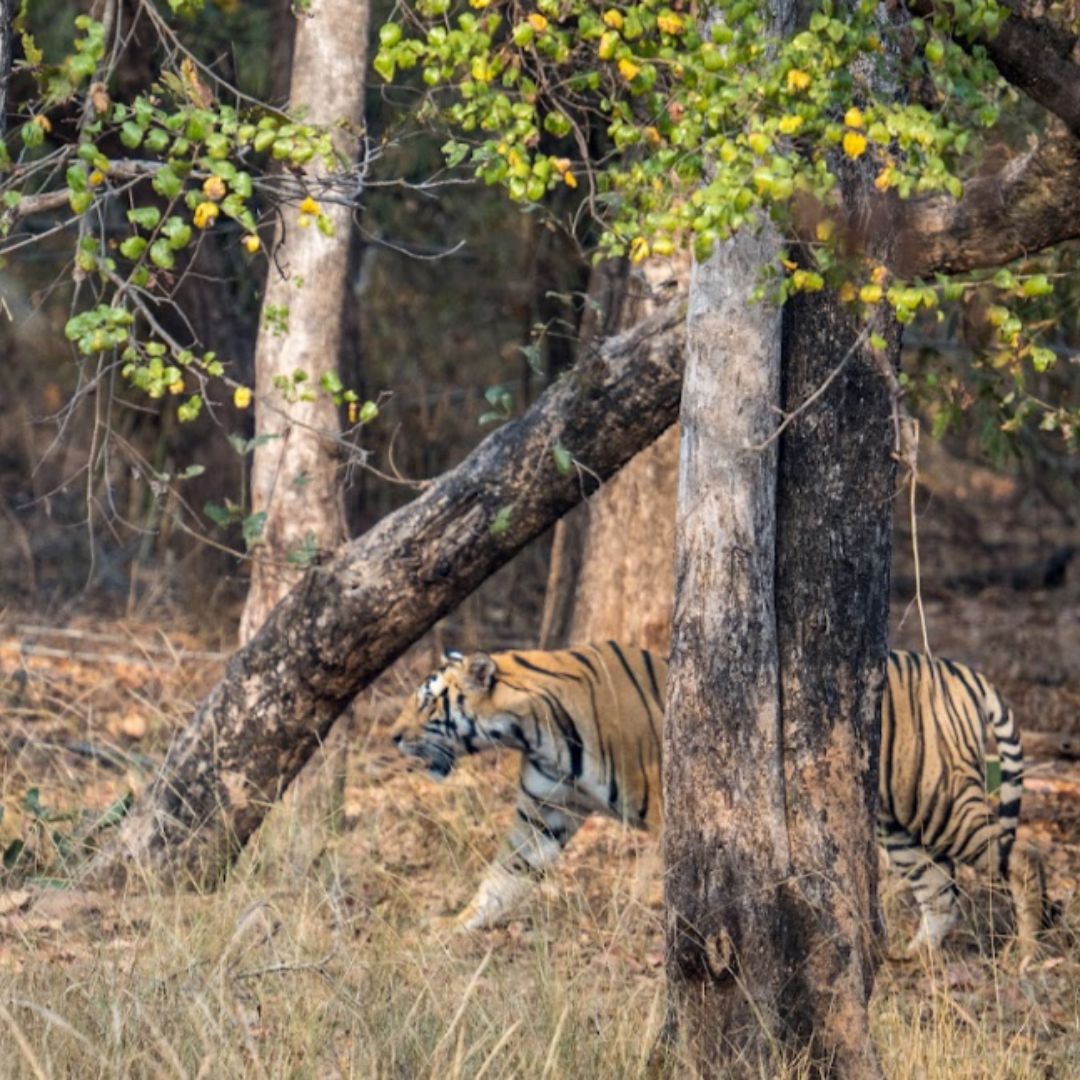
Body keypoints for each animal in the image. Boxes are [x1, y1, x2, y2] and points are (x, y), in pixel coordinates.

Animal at [393, 639, 1049, 954]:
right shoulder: (544, 811)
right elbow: (501, 879)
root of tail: (963, 670)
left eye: (427, 703)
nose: (393, 735)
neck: (527, 725)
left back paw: (1028, 952)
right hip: (899, 824)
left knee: (1022, 855)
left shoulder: (671, 803)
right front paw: (449, 928)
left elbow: (676, 885)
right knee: (941, 891)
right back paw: (915, 959)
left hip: (937, 799)